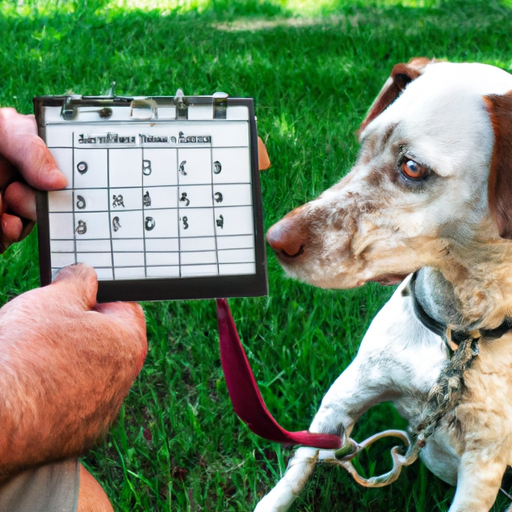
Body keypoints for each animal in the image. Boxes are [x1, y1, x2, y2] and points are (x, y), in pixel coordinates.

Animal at [260, 58, 512, 510]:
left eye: (412, 167)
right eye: (363, 148)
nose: (274, 240)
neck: (458, 335)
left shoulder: (482, 467)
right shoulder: (344, 396)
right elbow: (292, 475)